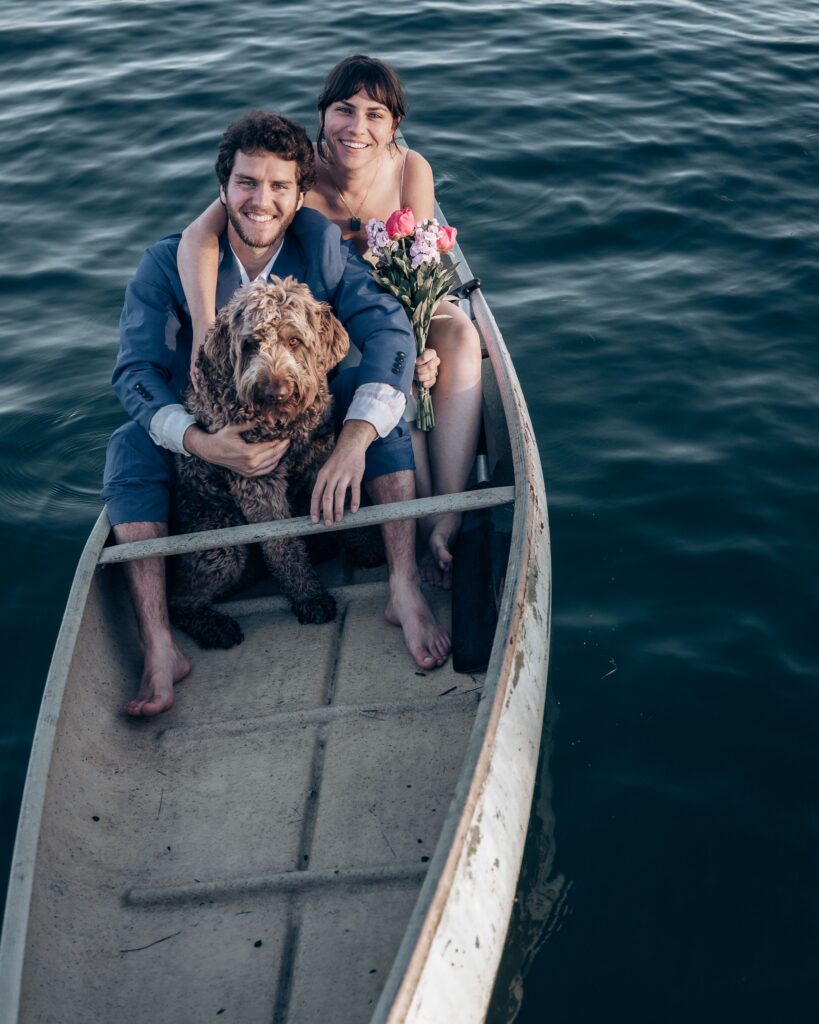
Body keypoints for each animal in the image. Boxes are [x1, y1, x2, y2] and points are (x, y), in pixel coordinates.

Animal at [170, 276, 350, 647]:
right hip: (220, 547)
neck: (283, 422)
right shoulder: (257, 480)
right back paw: (215, 627)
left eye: (294, 340)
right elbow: (282, 542)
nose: (275, 390)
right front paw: (309, 597)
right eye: (251, 344)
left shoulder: (321, 449)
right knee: (179, 601)